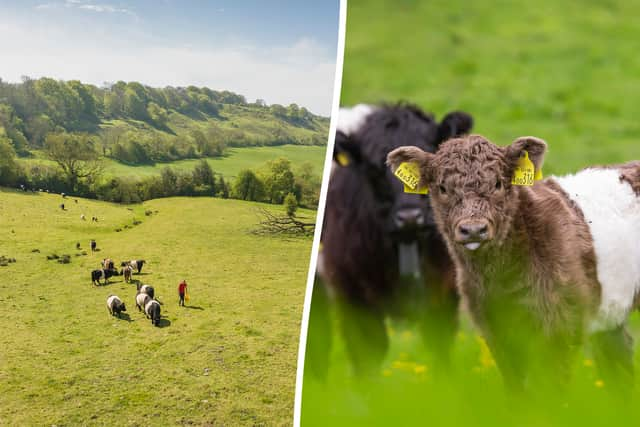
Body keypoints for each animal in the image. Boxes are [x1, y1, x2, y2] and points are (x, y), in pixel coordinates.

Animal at [312, 104, 472, 378]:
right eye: (374, 169)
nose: (410, 217)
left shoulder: (445, 290)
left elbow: (439, 348)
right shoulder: (353, 294)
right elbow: (367, 353)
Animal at [384, 136, 640, 392]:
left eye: (498, 183)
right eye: (443, 188)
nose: (473, 230)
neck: (501, 279)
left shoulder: (562, 325)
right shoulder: (496, 330)